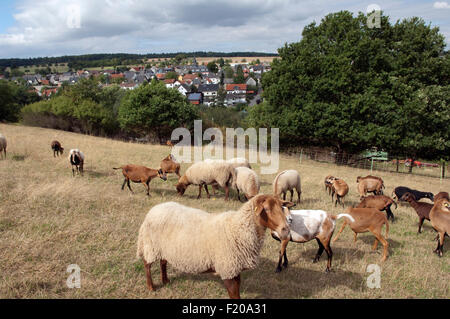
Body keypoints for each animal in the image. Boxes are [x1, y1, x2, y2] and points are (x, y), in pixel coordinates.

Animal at [136, 195, 292, 300]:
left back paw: (166, 280)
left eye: (282, 207)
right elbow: (234, 295)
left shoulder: (234, 268)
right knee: (147, 265)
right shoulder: (227, 268)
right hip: (150, 245)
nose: (285, 229)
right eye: (266, 209)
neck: (238, 228)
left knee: (163, 262)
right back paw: (151, 286)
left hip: (164, 248)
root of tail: (155, 208)